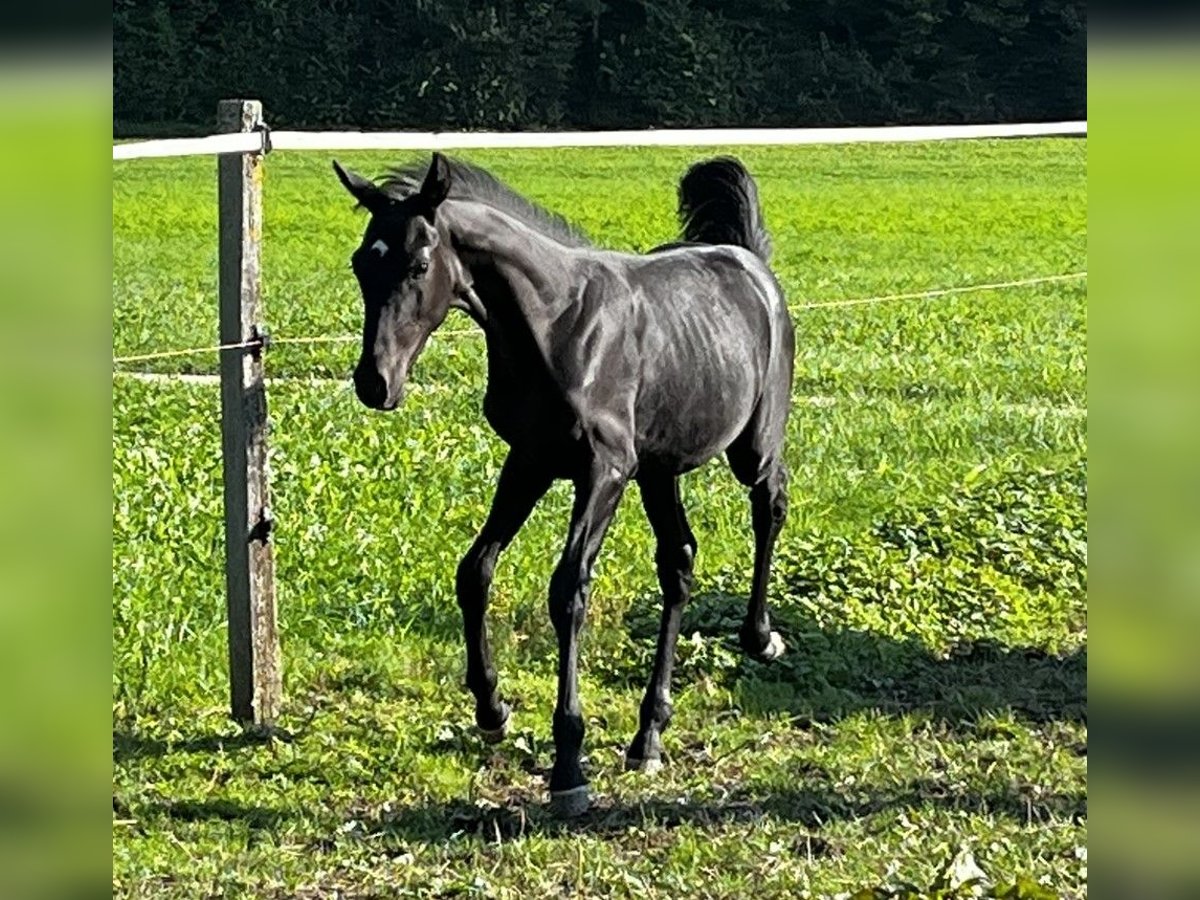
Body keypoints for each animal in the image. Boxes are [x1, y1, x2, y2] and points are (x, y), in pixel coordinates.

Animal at [333, 153, 792, 816]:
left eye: (418, 264)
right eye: (360, 263)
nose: (376, 383)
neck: (558, 327)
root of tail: (748, 260)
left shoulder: (604, 470)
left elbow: (568, 590)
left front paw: (568, 767)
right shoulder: (529, 460)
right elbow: (475, 570)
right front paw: (492, 709)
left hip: (748, 445)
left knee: (770, 502)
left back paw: (759, 637)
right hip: (658, 469)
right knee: (678, 562)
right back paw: (649, 734)